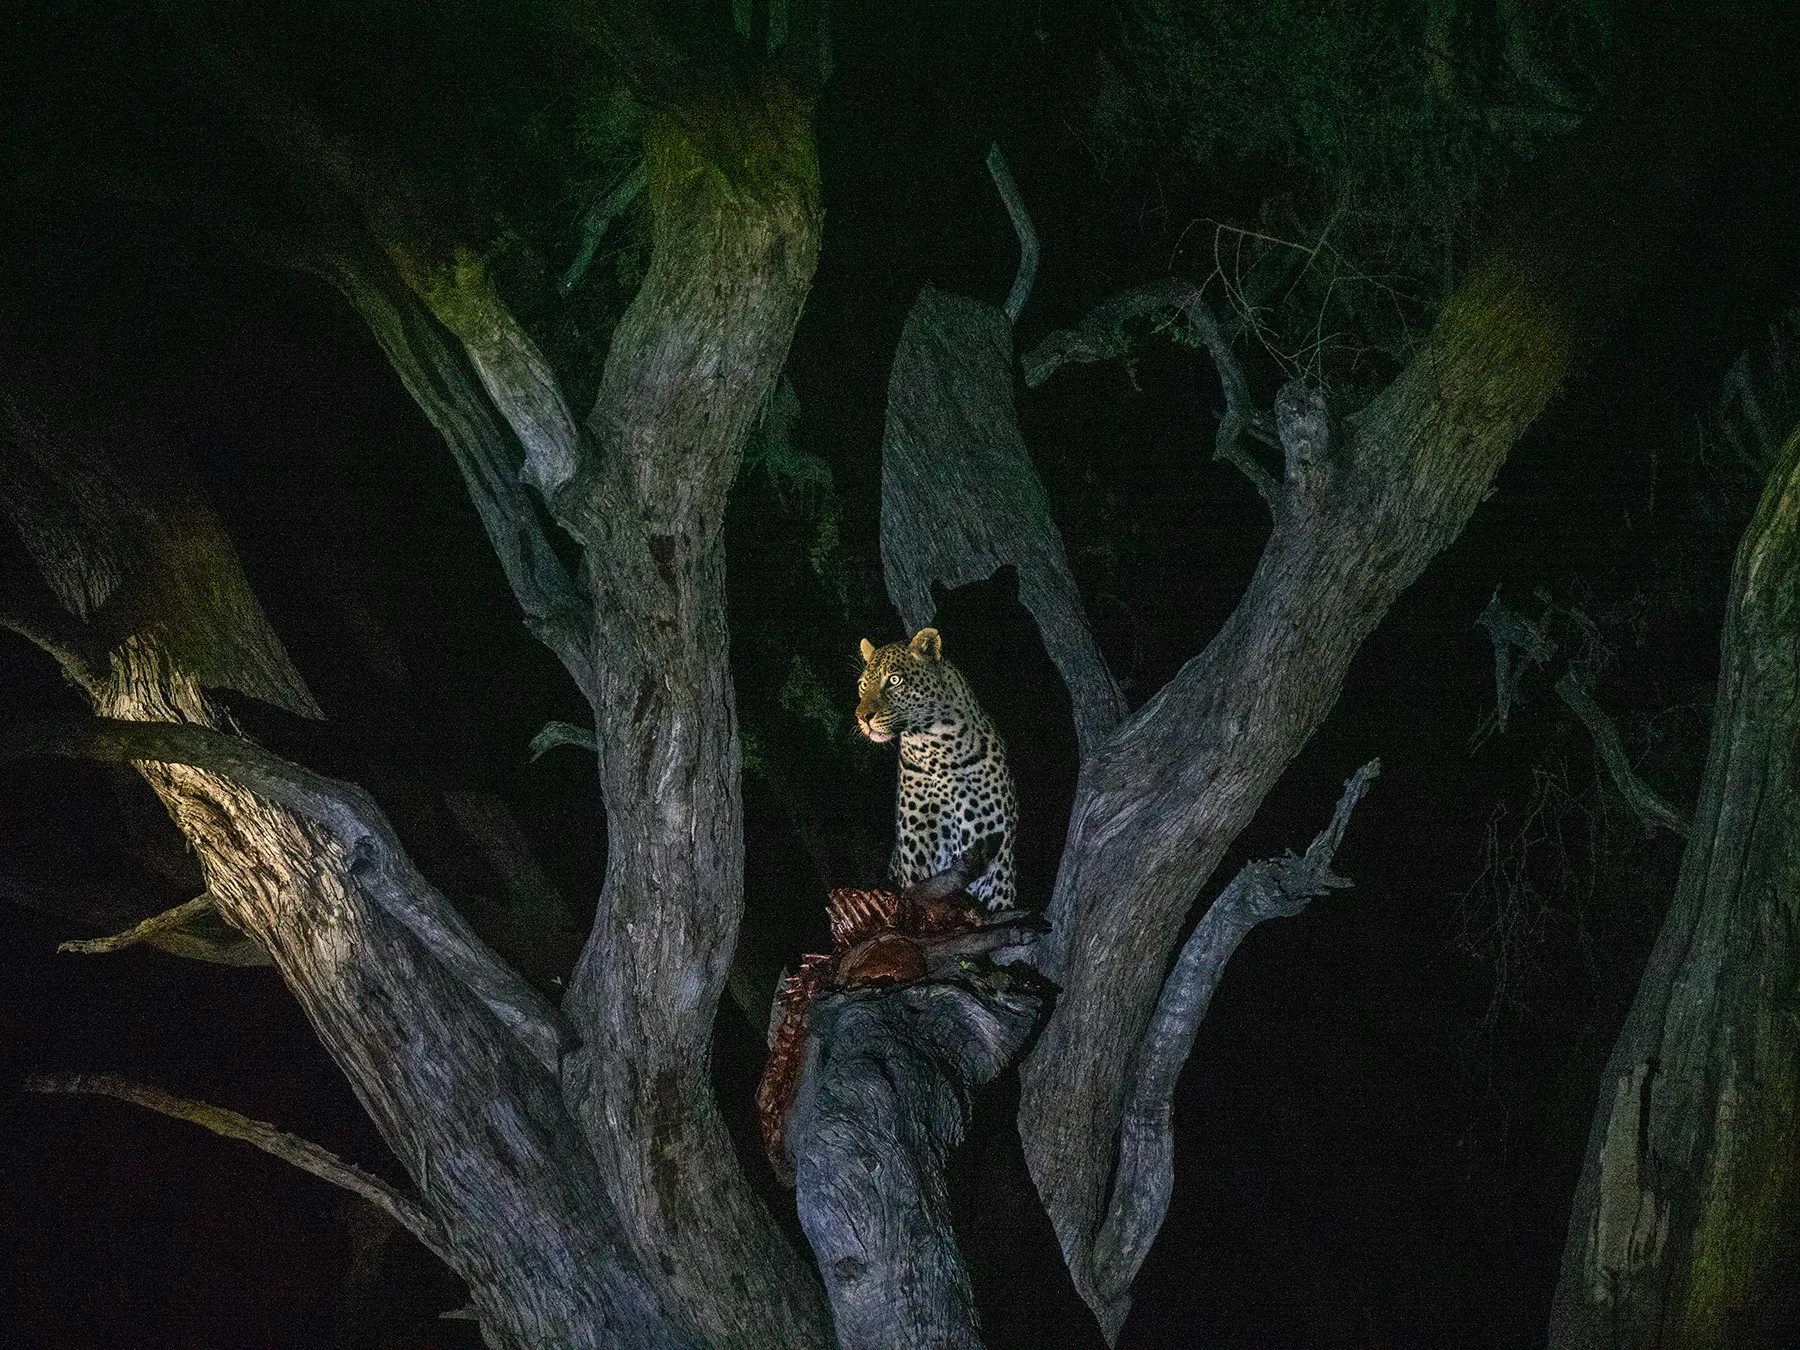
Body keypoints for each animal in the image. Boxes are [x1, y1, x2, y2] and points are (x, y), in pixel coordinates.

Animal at [856, 627, 1018, 912]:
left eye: (894, 680)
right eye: (863, 685)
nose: (862, 717)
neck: (938, 751)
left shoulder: (998, 858)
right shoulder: (918, 850)